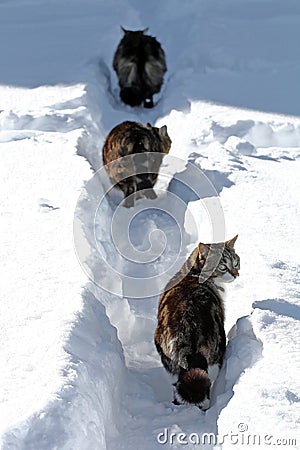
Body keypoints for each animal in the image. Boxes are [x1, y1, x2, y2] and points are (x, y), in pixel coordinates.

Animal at [155, 237, 239, 410]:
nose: (236, 274)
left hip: (170, 363)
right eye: (222, 266)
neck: (193, 273)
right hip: (216, 352)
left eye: (236, 262)